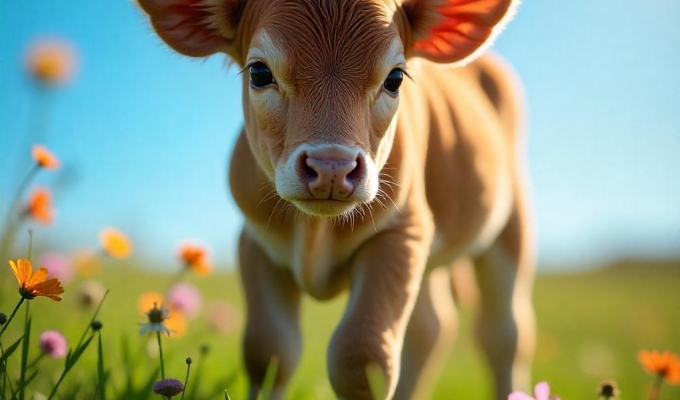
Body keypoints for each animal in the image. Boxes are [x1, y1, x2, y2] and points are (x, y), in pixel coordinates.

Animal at [137, 0, 535, 399]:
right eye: (260, 72)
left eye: (395, 78)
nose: (331, 167)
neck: (317, 230)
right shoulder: (255, 243)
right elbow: (269, 352)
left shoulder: (401, 233)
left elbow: (362, 358)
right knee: (431, 328)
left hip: (510, 229)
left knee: (504, 333)